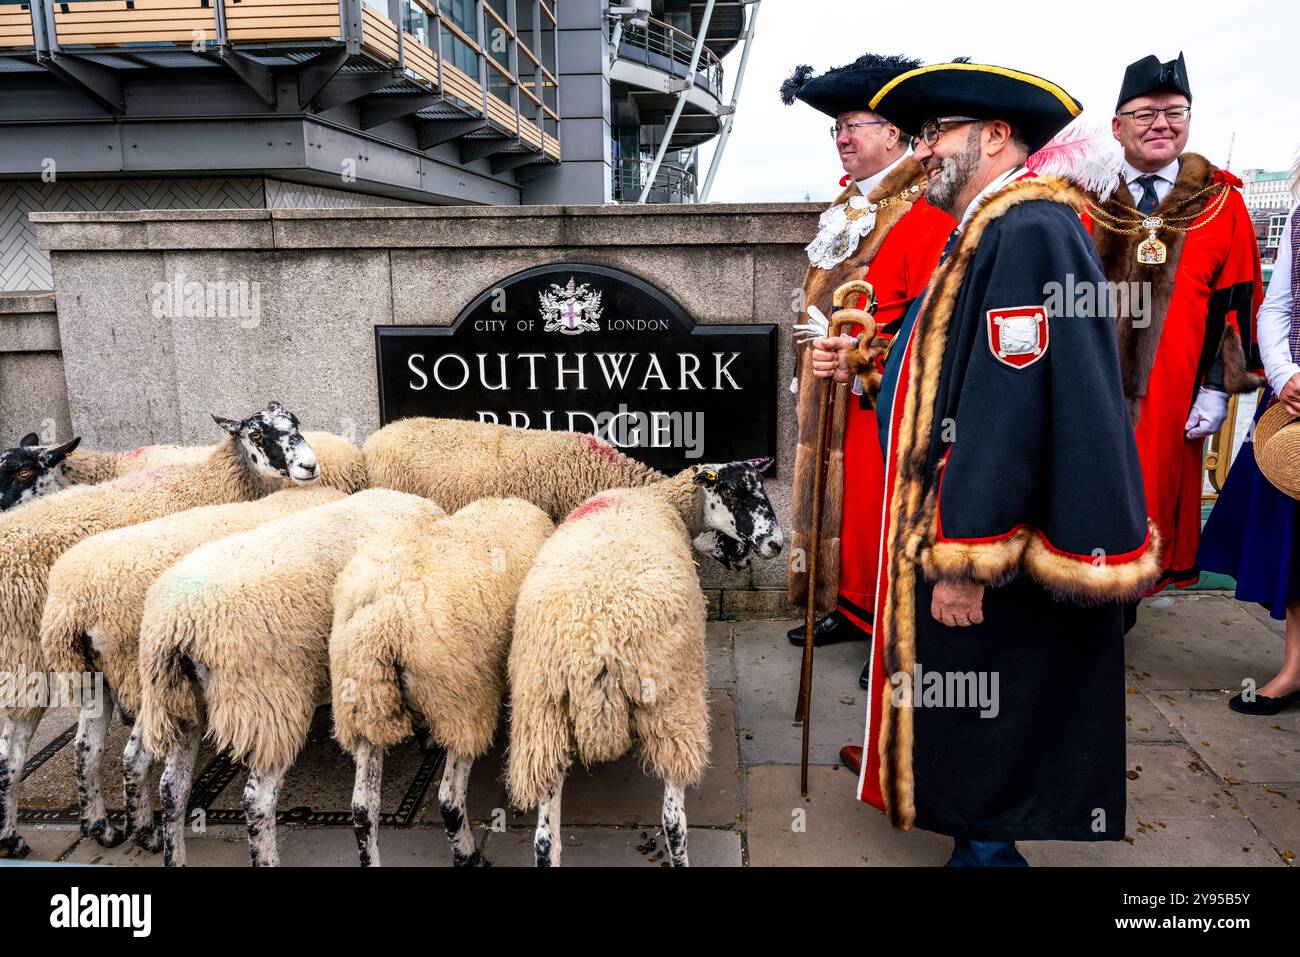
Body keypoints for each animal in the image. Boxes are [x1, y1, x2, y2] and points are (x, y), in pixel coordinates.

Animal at [137, 486, 449, 868]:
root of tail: (178, 625)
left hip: (180, 703)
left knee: (172, 789)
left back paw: (174, 855)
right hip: (268, 703)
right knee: (257, 800)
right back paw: (266, 857)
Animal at [330, 494, 553, 868]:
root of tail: (381, 625)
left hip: (363, 704)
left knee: (362, 807)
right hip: (461, 701)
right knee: (449, 798)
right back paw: (468, 854)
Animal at [506, 457, 780, 868]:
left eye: (762, 488)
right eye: (732, 492)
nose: (776, 544)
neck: (662, 498)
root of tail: (597, 647)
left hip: (541, 720)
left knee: (543, 840)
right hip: (673, 707)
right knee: (673, 821)